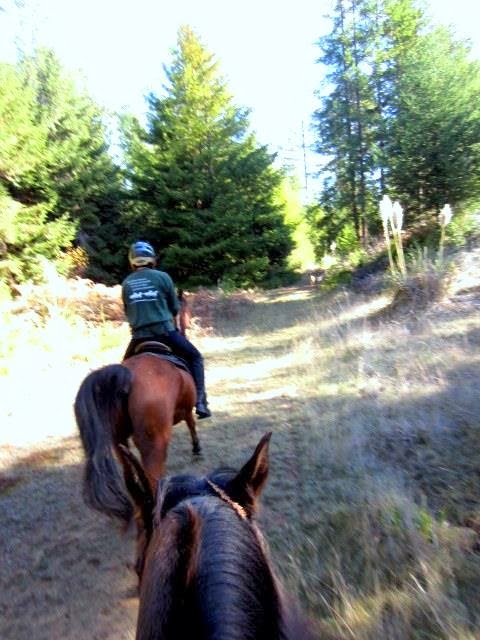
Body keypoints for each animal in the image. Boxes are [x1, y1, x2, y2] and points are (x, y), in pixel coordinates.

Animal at [74, 348, 201, 526]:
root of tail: (128, 376)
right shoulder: (187, 410)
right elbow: (192, 425)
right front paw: (196, 449)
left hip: (118, 440)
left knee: (130, 479)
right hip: (154, 445)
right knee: (153, 483)